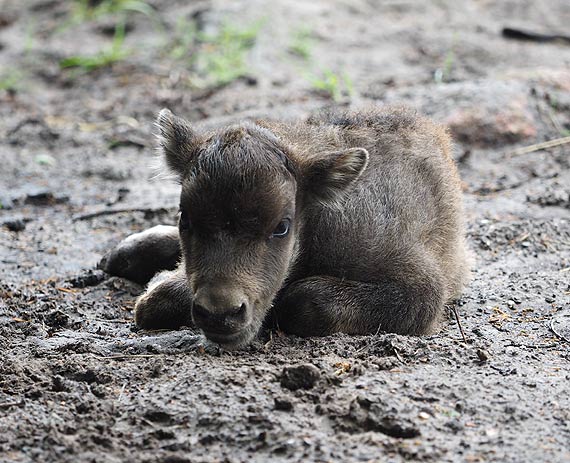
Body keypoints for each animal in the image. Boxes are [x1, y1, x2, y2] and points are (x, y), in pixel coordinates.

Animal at [100, 107, 468, 350]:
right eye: (185, 218)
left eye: (281, 226)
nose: (220, 313)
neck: (317, 220)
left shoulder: (420, 288)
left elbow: (303, 298)